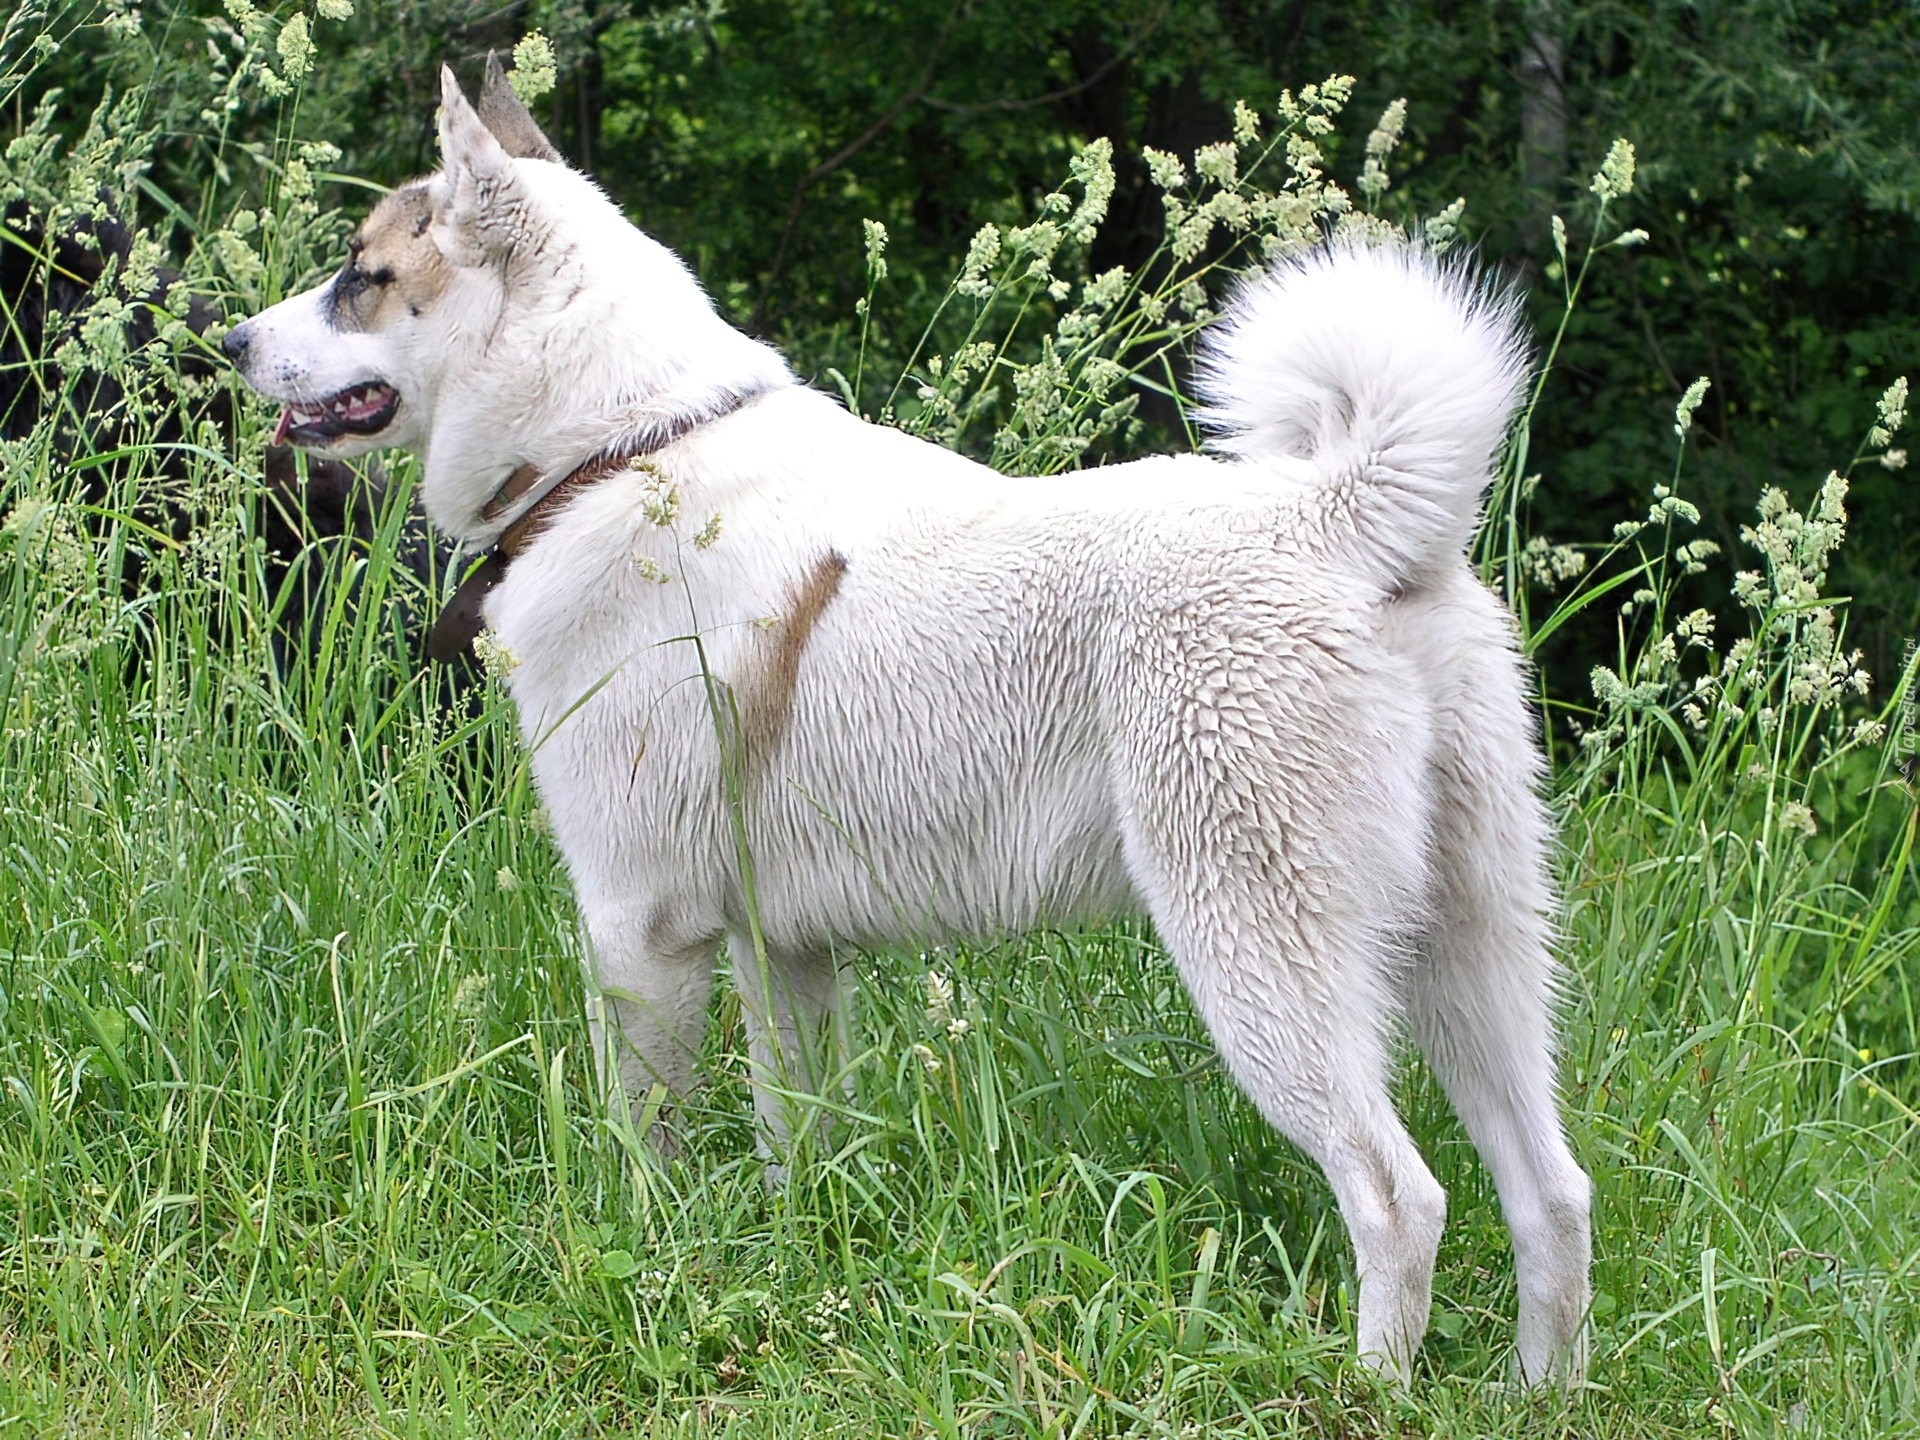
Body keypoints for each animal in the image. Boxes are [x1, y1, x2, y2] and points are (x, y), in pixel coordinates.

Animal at [224, 63, 1593, 1385]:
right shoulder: (780, 952)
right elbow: (797, 1143)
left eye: (363, 276)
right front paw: (788, 1272)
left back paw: (1369, 1391)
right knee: (1552, 1194)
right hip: (1470, 956)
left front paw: (641, 1258)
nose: (231, 338)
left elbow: (644, 1146)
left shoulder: (638, 928)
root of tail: (1339, 519)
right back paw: (1541, 1396)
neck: (617, 448)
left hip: (1262, 956)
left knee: (1399, 1199)